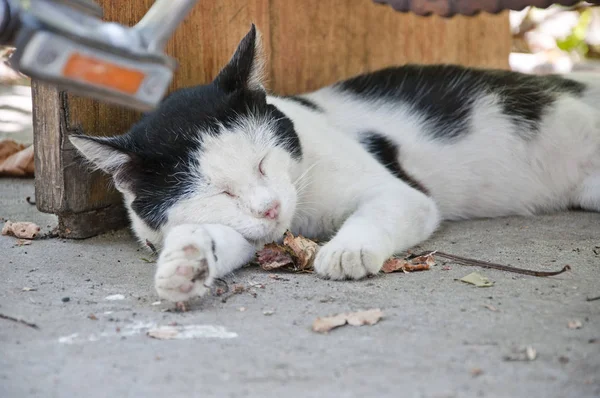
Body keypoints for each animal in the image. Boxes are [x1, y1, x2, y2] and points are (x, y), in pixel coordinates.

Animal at [69, 25, 600, 302]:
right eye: (221, 192)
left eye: (263, 162)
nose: (269, 208)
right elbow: (217, 239)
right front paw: (186, 262)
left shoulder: (401, 193)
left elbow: (380, 210)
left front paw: (348, 250)